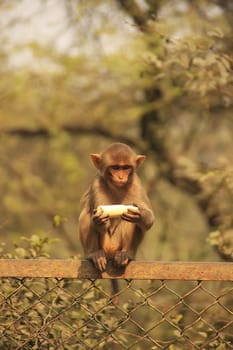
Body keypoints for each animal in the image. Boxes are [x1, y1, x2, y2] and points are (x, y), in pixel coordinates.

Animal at [78, 142, 155, 274]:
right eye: (115, 168)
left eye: (126, 168)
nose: (121, 177)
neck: (116, 187)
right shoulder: (97, 184)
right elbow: (101, 222)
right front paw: (99, 220)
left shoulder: (137, 184)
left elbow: (149, 219)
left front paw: (141, 215)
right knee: (87, 214)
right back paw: (95, 254)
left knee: (131, 221)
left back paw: (125, 255)